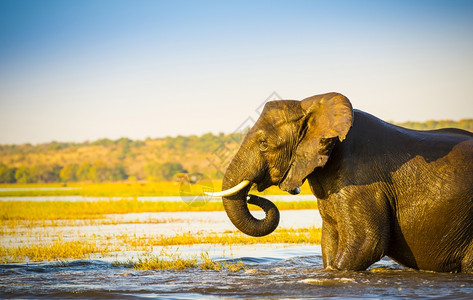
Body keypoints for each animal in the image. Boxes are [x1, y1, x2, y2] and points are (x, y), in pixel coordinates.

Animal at [208, 92, 472, 274]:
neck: (312, 106)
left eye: (263, 143)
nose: (252, 195)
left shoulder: (361, 178)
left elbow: (367, 243)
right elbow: (330, 241)